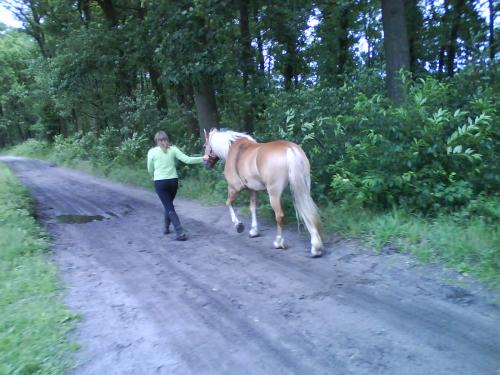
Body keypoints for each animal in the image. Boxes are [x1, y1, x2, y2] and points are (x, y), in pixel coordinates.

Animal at [203, 129, 324, 258]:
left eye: (204, 146)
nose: (205, 163)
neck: (234, 148)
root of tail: (289, 149)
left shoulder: (234, 188)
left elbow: (228, 203)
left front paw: (238, 225)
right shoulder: (252, 190)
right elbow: (252, 208)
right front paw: (254, 231)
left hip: (274, 194)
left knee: (280, 216)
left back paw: (279, 242)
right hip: (302, 189)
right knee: (308, 213)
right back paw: (316, 247)